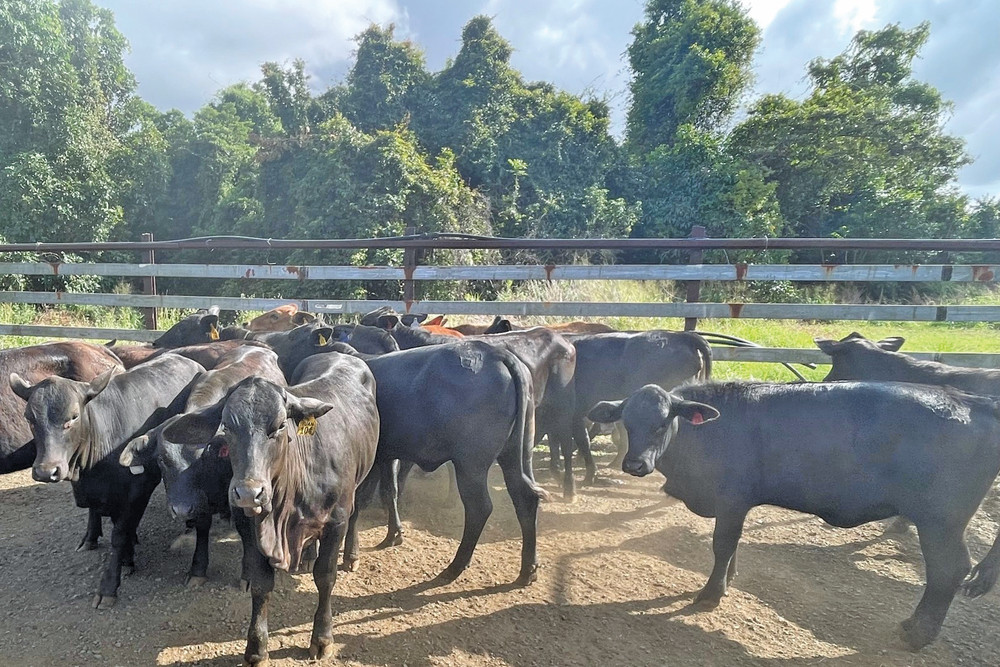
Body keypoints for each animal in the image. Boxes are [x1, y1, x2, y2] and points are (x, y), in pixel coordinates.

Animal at [10, 358, 203, 608]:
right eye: (29, 418)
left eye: (73, 417)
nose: (46, 471)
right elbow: (105, 518)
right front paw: (118, 551)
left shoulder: (137, 491)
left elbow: (119, 535)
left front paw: (110, 584)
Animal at [120, 348, 290, 588]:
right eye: (161, 459)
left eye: (204, 457)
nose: (181, 509)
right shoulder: (200, 500)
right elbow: (202, 527)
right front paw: (197, 569)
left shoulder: (242, 493)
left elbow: (245, 531)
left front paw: (248, 575)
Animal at [160, 352, 378, 664]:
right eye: (227, 427)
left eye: (280, 426)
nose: (249, 493)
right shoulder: (250, 527)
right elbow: (261, 584)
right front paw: (256, 649)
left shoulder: (336, 521)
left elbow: (325, 577)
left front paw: (322, 639)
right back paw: (308, 555)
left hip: (364, 479)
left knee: (357, 513)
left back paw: (351, 555)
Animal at [588, 384, 1000, 648]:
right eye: (626, 421)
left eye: (662, 422)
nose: (634, 465)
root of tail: (974, 400)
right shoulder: (736, 504)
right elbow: (732, 547)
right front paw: (728, 580)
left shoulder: (732, 498)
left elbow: (722, 544)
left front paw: (711, 593)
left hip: (941, 522)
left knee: (949, 570)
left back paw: (916, 634)